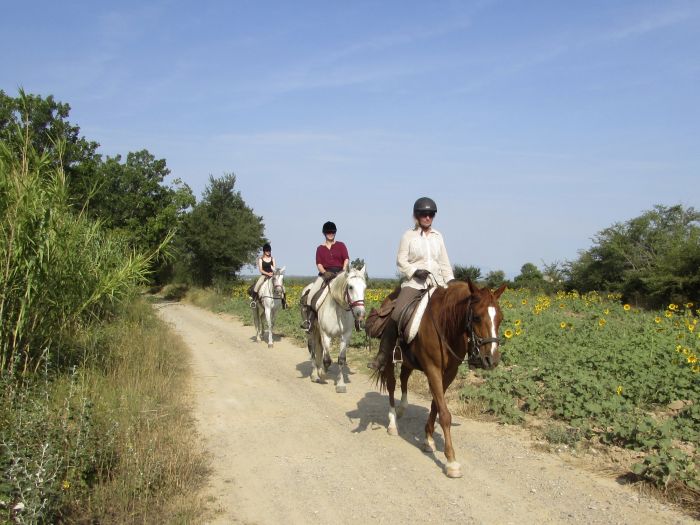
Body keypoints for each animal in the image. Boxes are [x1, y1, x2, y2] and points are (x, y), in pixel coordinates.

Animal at [374, 280, 506, 476]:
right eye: (476, 317)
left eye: (500, 318)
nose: (492, 360)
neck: (445, 326)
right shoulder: (433, 369)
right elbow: (444, 414)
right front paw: (451, 461)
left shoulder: (450, 372)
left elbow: (435, 405)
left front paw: (428, 439)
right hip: (390, 359)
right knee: (391, 386)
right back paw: (392, 423)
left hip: (408, 362)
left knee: (404, 378)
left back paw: (402, 408)